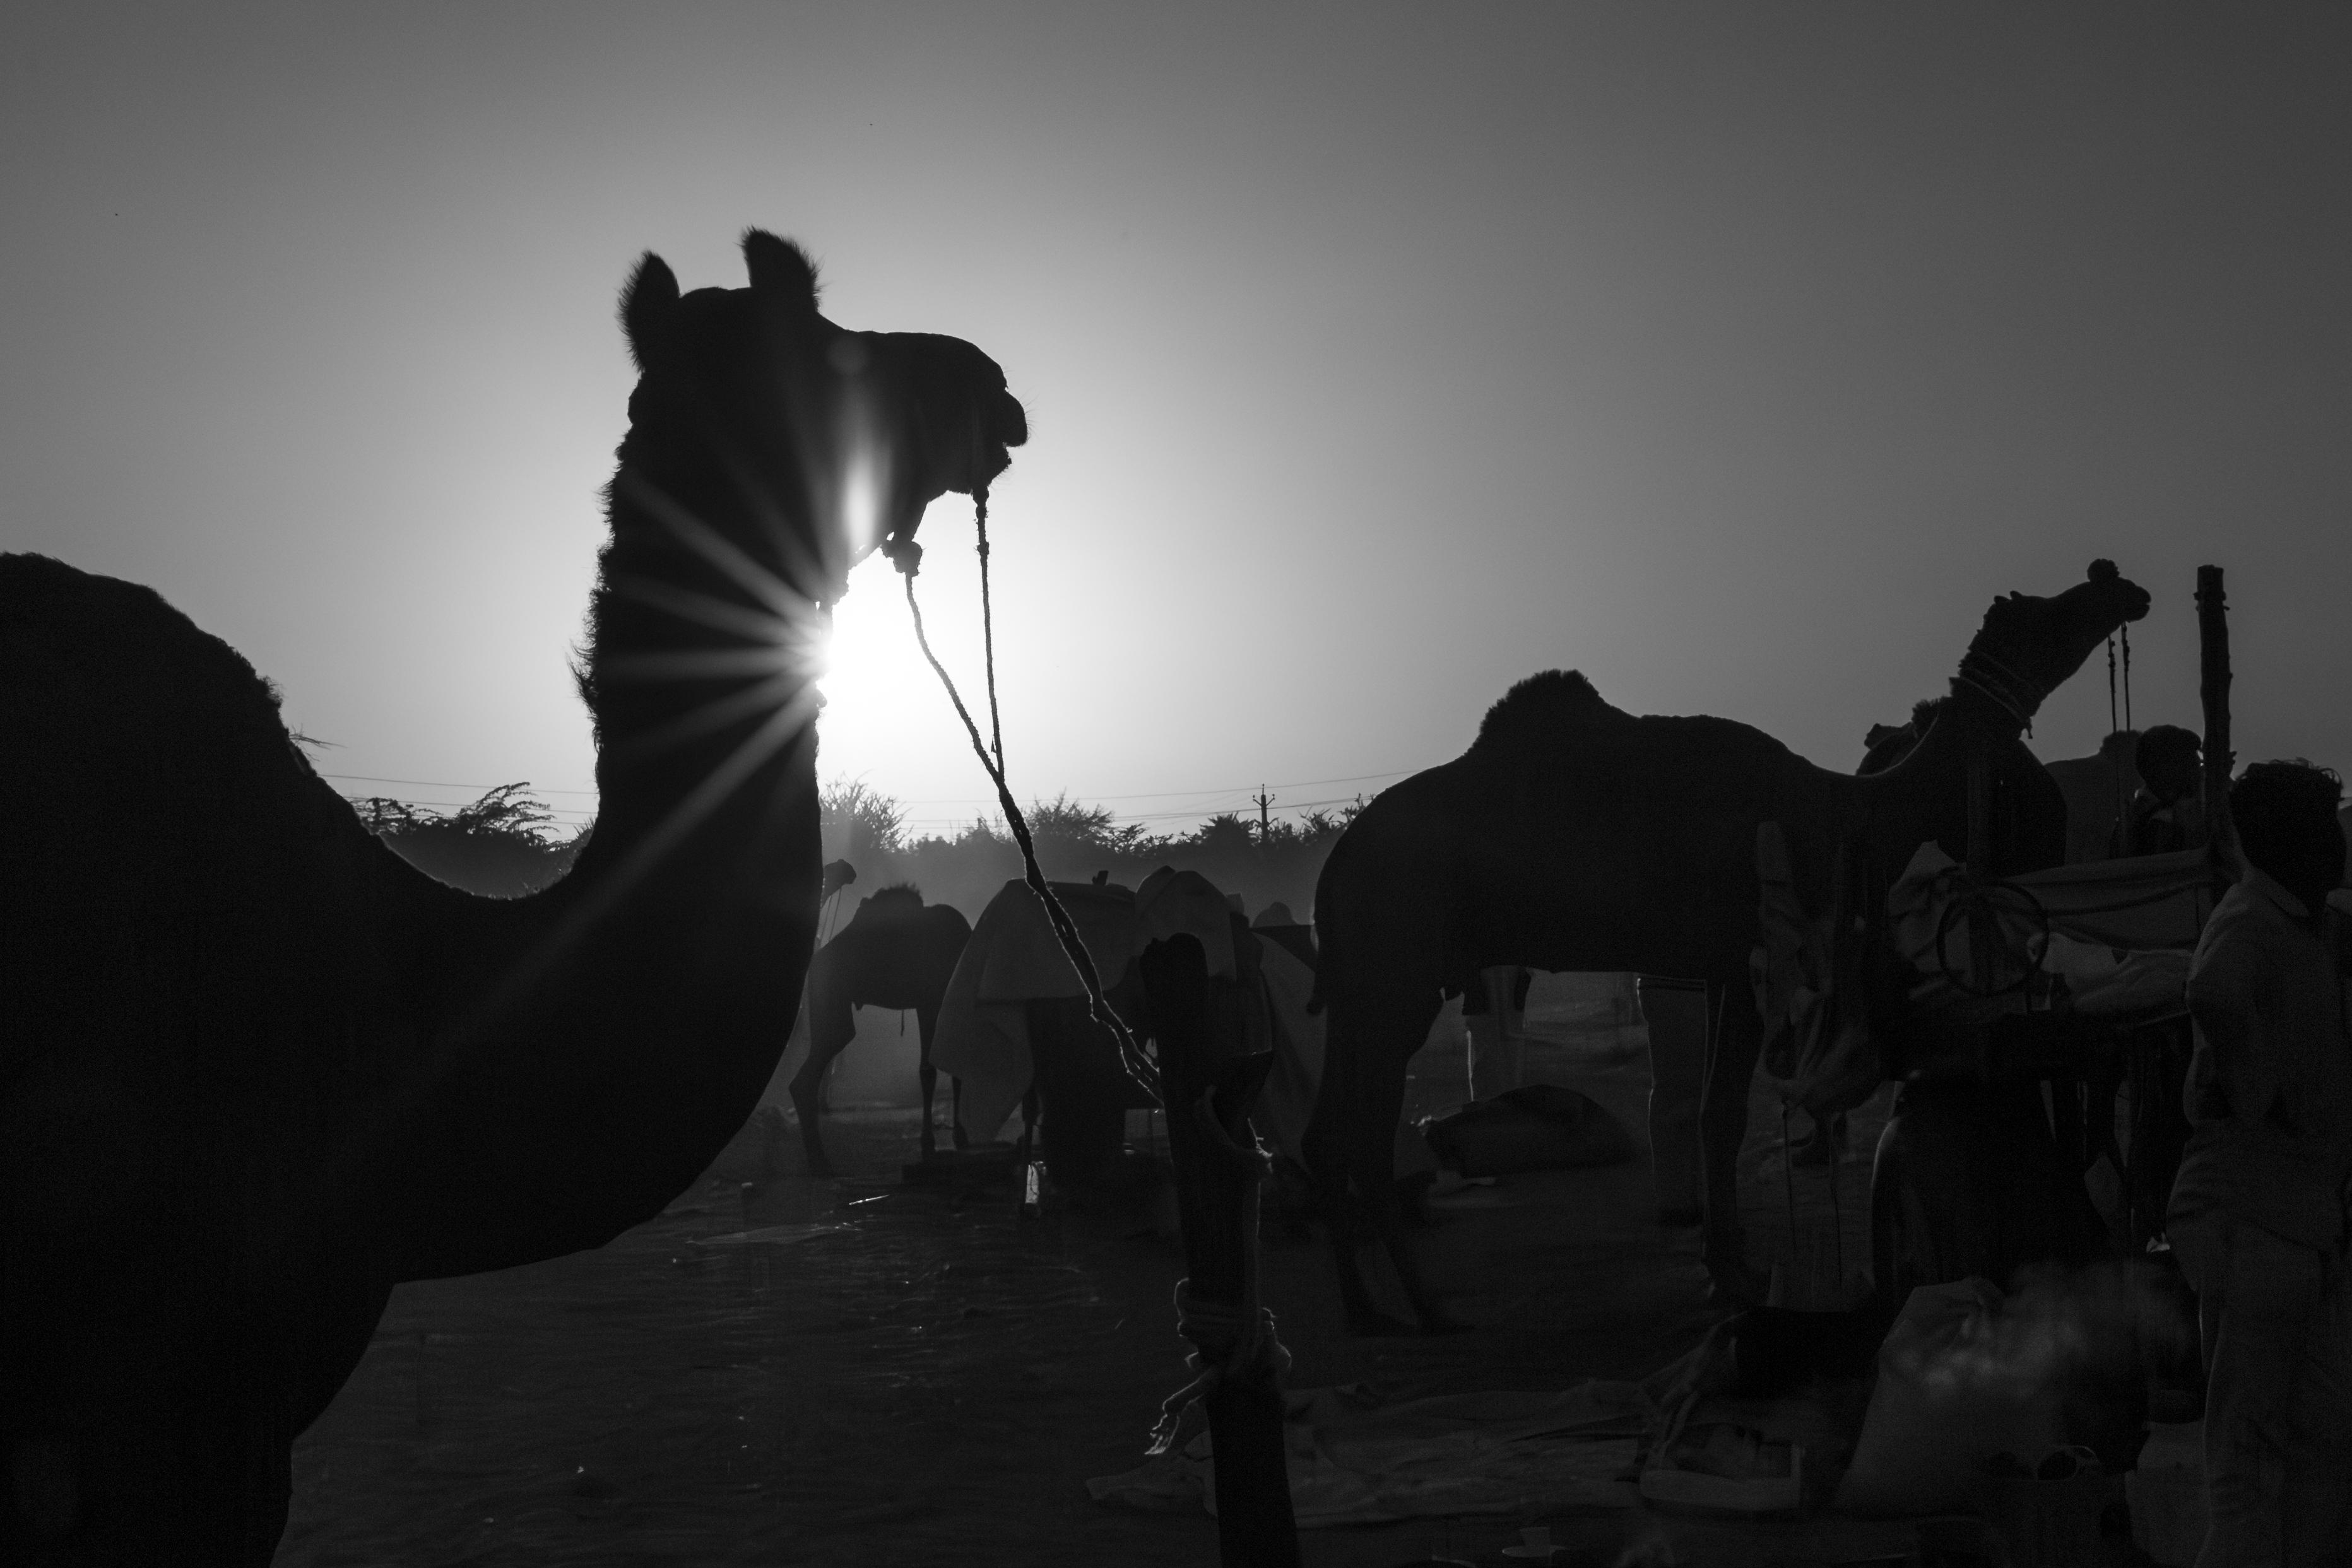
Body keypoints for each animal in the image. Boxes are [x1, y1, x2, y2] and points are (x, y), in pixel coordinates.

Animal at [792, 884, 974, 1174]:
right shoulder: (927, 1003)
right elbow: (928, 1070)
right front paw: (928, 1143)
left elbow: (954, 1068)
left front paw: (960, 1136)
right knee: (806, 1078)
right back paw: (820, 1162)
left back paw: (818, 1159)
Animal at [1302, 562, 2151, 1335]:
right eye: (2047, 612)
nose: (2119, 583)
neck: (1851, 811)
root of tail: (1335, 866)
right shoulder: (1753, 954)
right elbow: (1725, 1113)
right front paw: (1735, 1274)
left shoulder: (1716, 968)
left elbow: (1714, 1109)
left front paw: (1726, 1262)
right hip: (1394, 975)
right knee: (1364, 1136)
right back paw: (1425, 1306)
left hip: (1356, 986)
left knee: (1326, 1132)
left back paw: (1362, 1308)